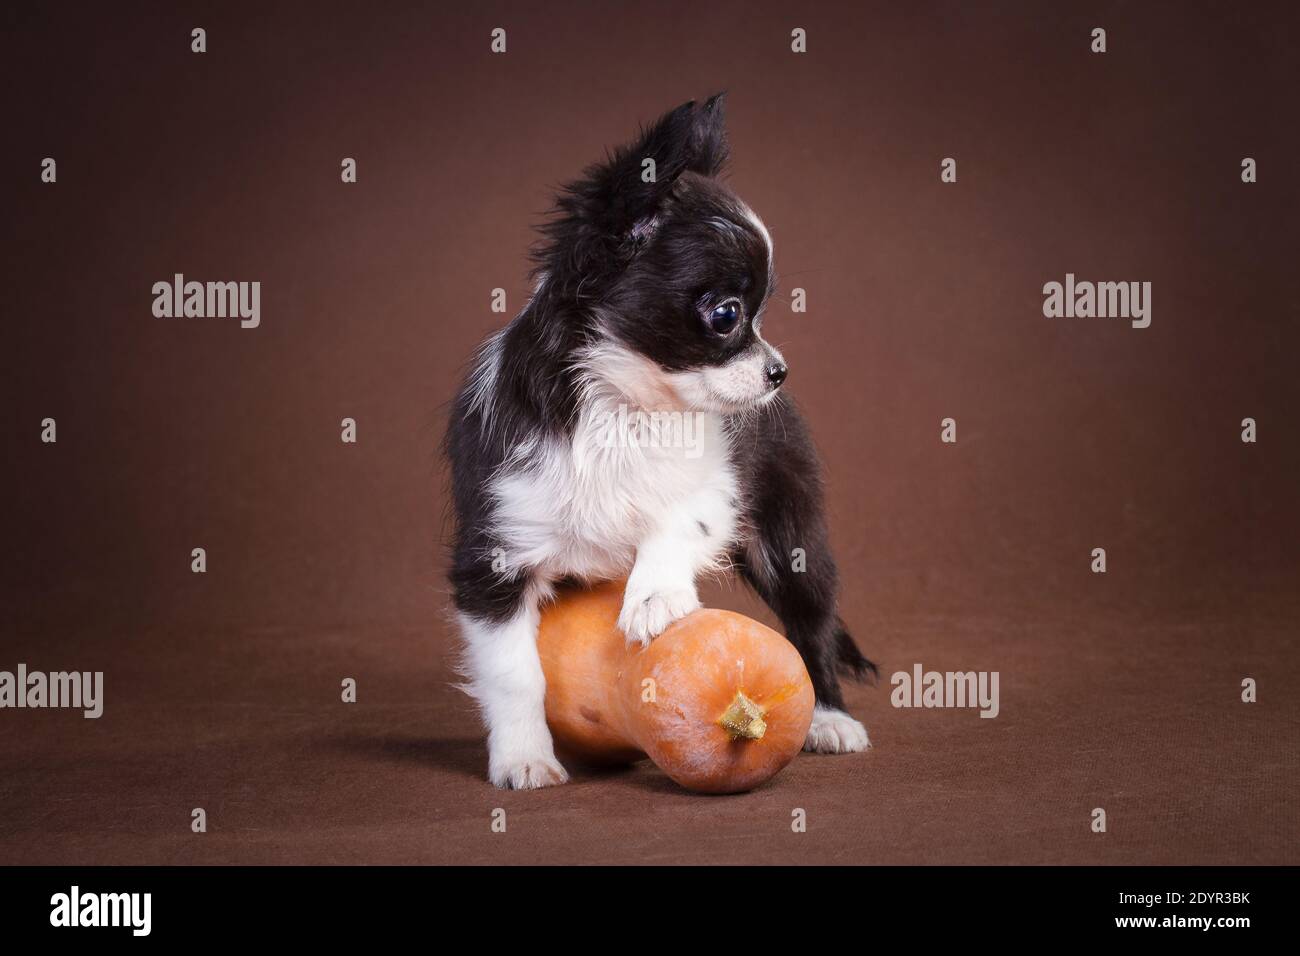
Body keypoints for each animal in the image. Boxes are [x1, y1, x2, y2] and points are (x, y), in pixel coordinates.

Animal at [444, 93, 873, 790]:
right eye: (728, 315)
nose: (778, 370)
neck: (627, 409)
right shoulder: (495, 556)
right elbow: (514, 675)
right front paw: (523, 757)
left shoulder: (720, 484)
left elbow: (678, 520)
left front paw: (655, 596)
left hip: (793, 540)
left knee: (812, 624)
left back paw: (831, 719)